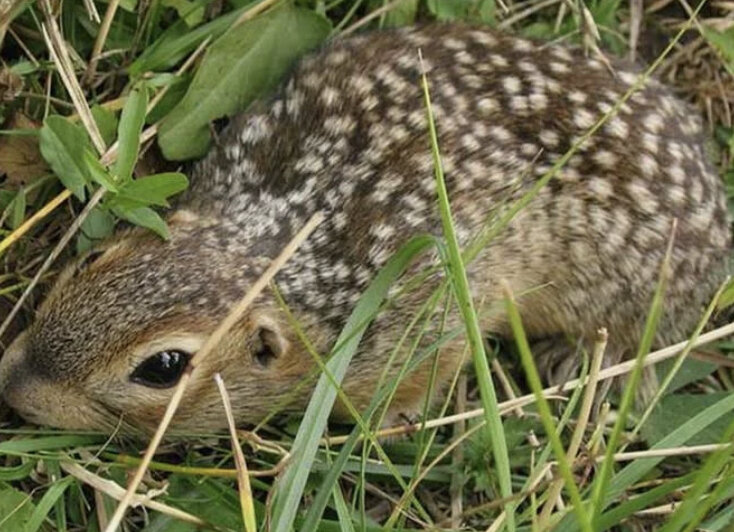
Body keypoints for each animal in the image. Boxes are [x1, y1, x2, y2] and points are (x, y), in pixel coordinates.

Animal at [0, 23, 732, 432]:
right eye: (91, 261)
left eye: (165, 367)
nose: (11, 385)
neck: (272, 245)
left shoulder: (426, 325)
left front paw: (397, 418)